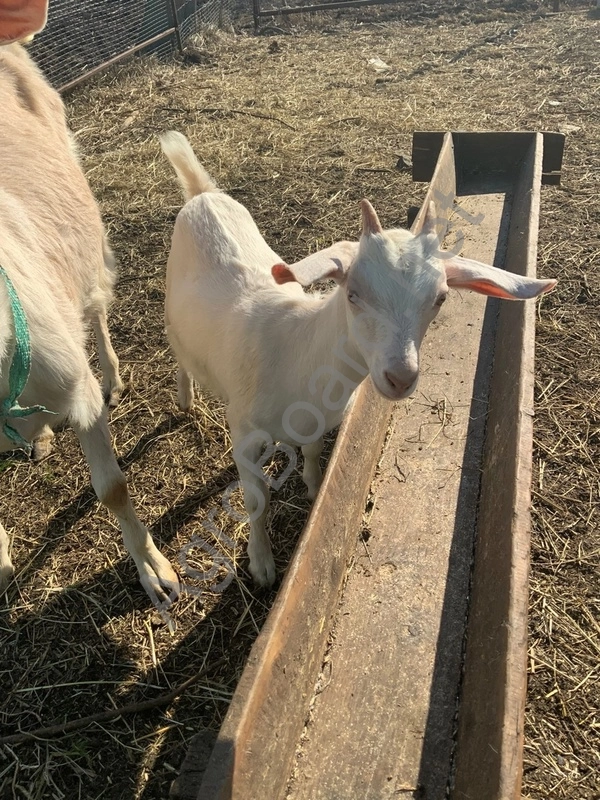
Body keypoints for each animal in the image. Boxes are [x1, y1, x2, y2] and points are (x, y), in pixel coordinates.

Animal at [160, 130, 556, 587]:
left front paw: (314, 487)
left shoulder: (318, 422)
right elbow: (256, 501)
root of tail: (202, 195)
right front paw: (261, 564)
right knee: (178, 352)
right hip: (173, 314)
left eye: (440, 298)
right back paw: (185, 398)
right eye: (353, 293)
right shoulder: (243, 433)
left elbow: (313, 451)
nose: (400, 377)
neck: (298, 351)